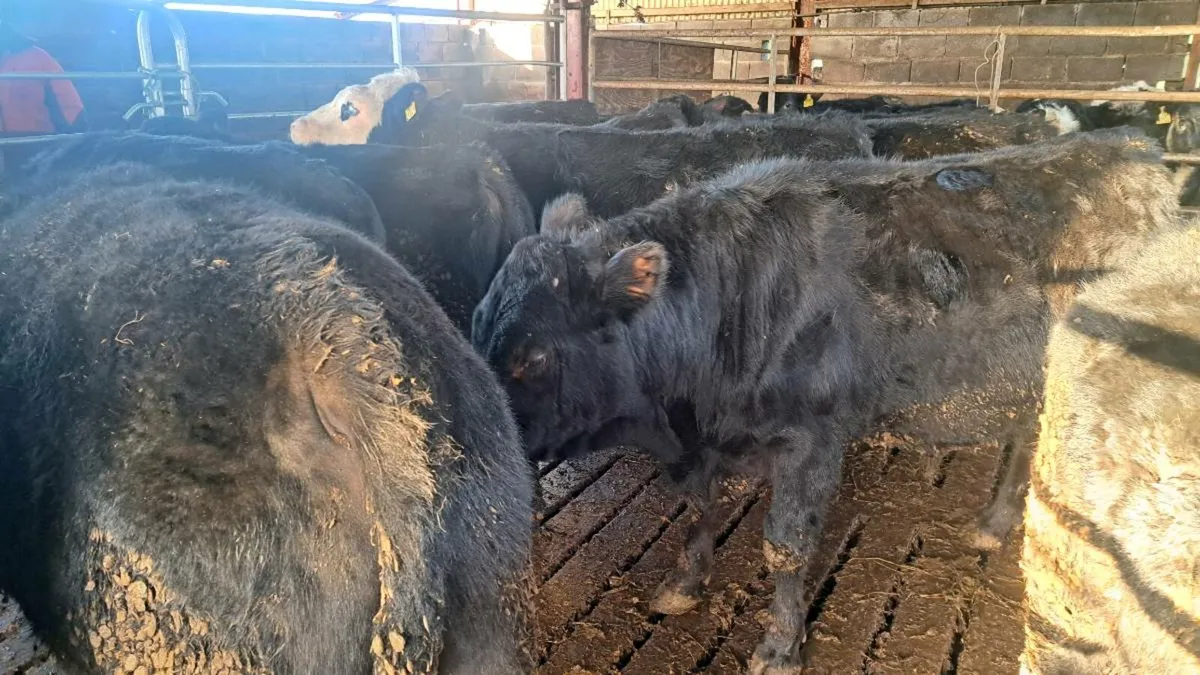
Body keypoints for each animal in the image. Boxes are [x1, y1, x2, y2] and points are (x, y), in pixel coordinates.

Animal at [470, 128, 1178, 674]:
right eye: (474, 325)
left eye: (533, 357)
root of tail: (1135, 149)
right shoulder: (704, 448)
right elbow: (699, 509)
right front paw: (684, 584)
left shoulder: (810, 441)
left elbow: (785, 545)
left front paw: (780, 648)